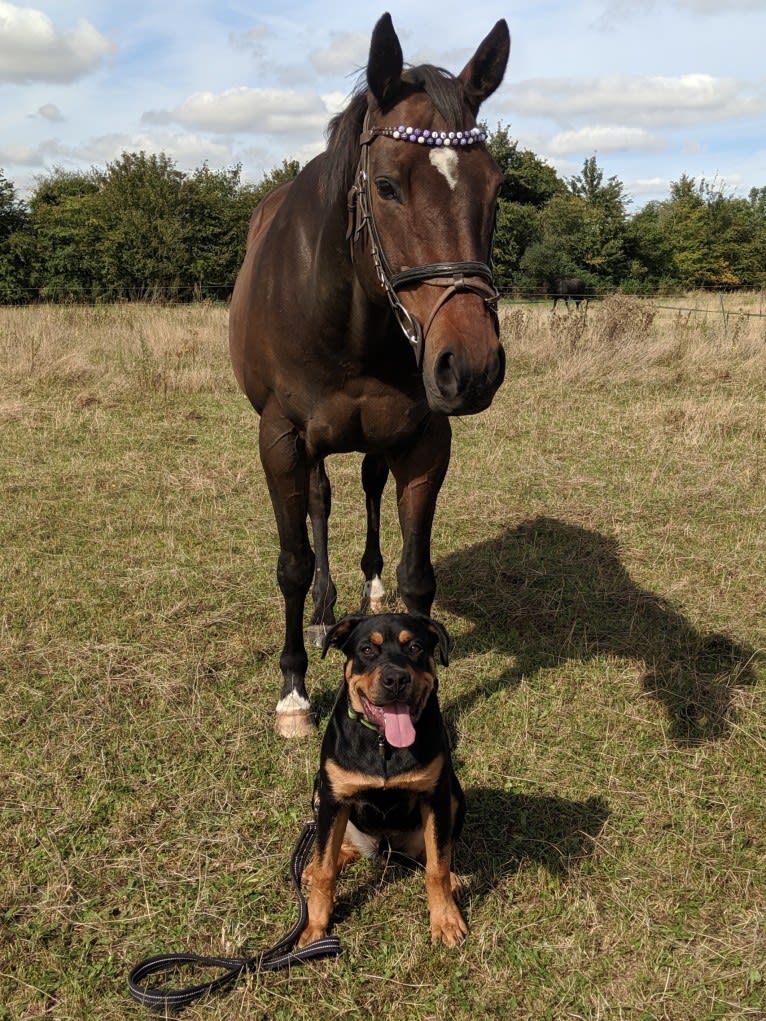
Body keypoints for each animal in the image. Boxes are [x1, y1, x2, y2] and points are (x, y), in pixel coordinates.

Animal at [230, 11, 512, 739]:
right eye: (386, 185)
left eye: (496, 187)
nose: (471, 368)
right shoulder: (280, 439)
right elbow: (293, 563)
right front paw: (294, 689)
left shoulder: (424, 441)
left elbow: (418, 574)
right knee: (321, 504)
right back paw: (326, 612)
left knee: (365, 489)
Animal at [300, 608, 467, 943]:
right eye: (367, 649)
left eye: (415, 647)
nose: (396, 679)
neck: (384, 745)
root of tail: (384, 849)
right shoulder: (333, 798)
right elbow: (326, 869)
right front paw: (314, 928)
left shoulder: (436, 796)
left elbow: (437, 866)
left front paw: (445, 920)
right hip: (318, 790)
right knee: (337, 849)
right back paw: (312, 867)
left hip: (455, 793)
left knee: (436, 853)